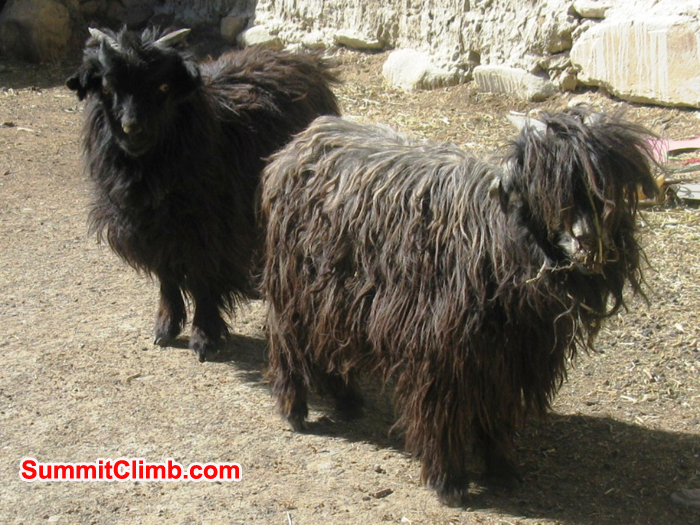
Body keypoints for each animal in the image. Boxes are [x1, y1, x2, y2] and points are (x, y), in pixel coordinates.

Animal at [66, 27, 340, 361]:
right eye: (106, 87)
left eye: (163, 86)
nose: (132, 128)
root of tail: (304, 61)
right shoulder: (154, 235)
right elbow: (167, 279)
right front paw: (166, 327)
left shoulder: (210, 234)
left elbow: (203, 283)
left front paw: (204, 337)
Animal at [260, 110, 657, 505]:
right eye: (541, 186)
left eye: (607, 186)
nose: (588, 242)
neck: (497, 240)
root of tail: (298, 145)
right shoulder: (443, 352)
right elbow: (443, 414)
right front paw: (448, 481)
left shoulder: (507, 358)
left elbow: (497, 413)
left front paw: (501, 469)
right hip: (295, 289)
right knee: (289, 341)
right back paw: (295, 410)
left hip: (335, 300)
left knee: (328, 343)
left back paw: (347, 401)